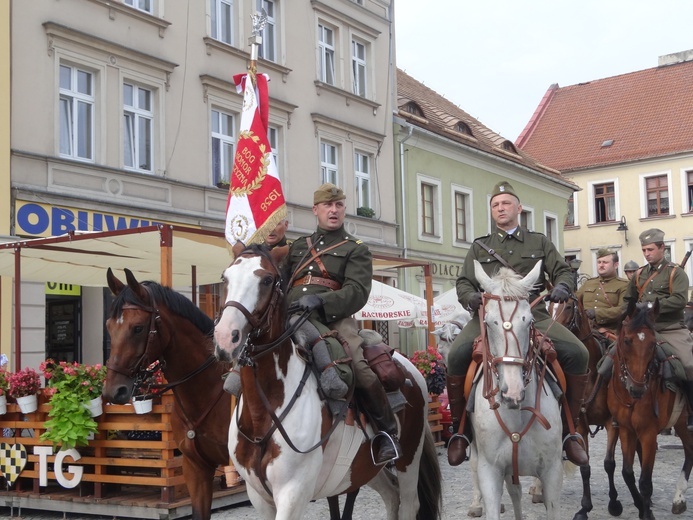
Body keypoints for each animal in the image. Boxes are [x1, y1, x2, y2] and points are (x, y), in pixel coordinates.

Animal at [212, 245, 438, 520]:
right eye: (225, 277)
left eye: (266, 280)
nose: (226, 337)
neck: (264, 411)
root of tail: (410, 366)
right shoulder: (258, 497)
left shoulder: (292, 493)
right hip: (360, 469)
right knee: (390, 495)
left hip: (409, 460)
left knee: (408, 503)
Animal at [548, 296, 624, 520]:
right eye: (549, 307)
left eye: (568, 306)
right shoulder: (580, 425)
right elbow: (585, 467)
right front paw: (584, 508)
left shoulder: (612, 423)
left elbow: (609, 464)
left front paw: (614, 503)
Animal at [604, 298, 692, 516]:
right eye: (627, 341)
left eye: (653, 343)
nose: (637, 388)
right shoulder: (626, 430)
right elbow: (627, 472)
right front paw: (643, 508)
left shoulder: (648, 433)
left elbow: (645, 482)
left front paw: (647, 513)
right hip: (680, 423)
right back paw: (679, 498)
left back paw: (679, 496)